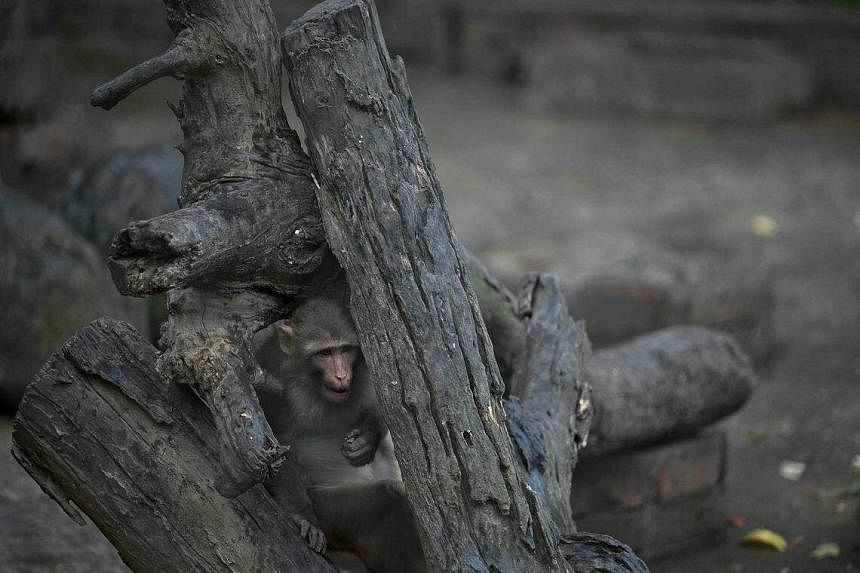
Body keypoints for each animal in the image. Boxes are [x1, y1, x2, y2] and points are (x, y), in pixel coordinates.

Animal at [260, 298, 425, 573]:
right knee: (391, 500)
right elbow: (269, 449)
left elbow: (390, 403)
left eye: (345, 350)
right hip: (332, 514)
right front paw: (302, 516)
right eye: (324, 353)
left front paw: (366, 441)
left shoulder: (366, 366)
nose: (341, 375)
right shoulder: (273, 376)